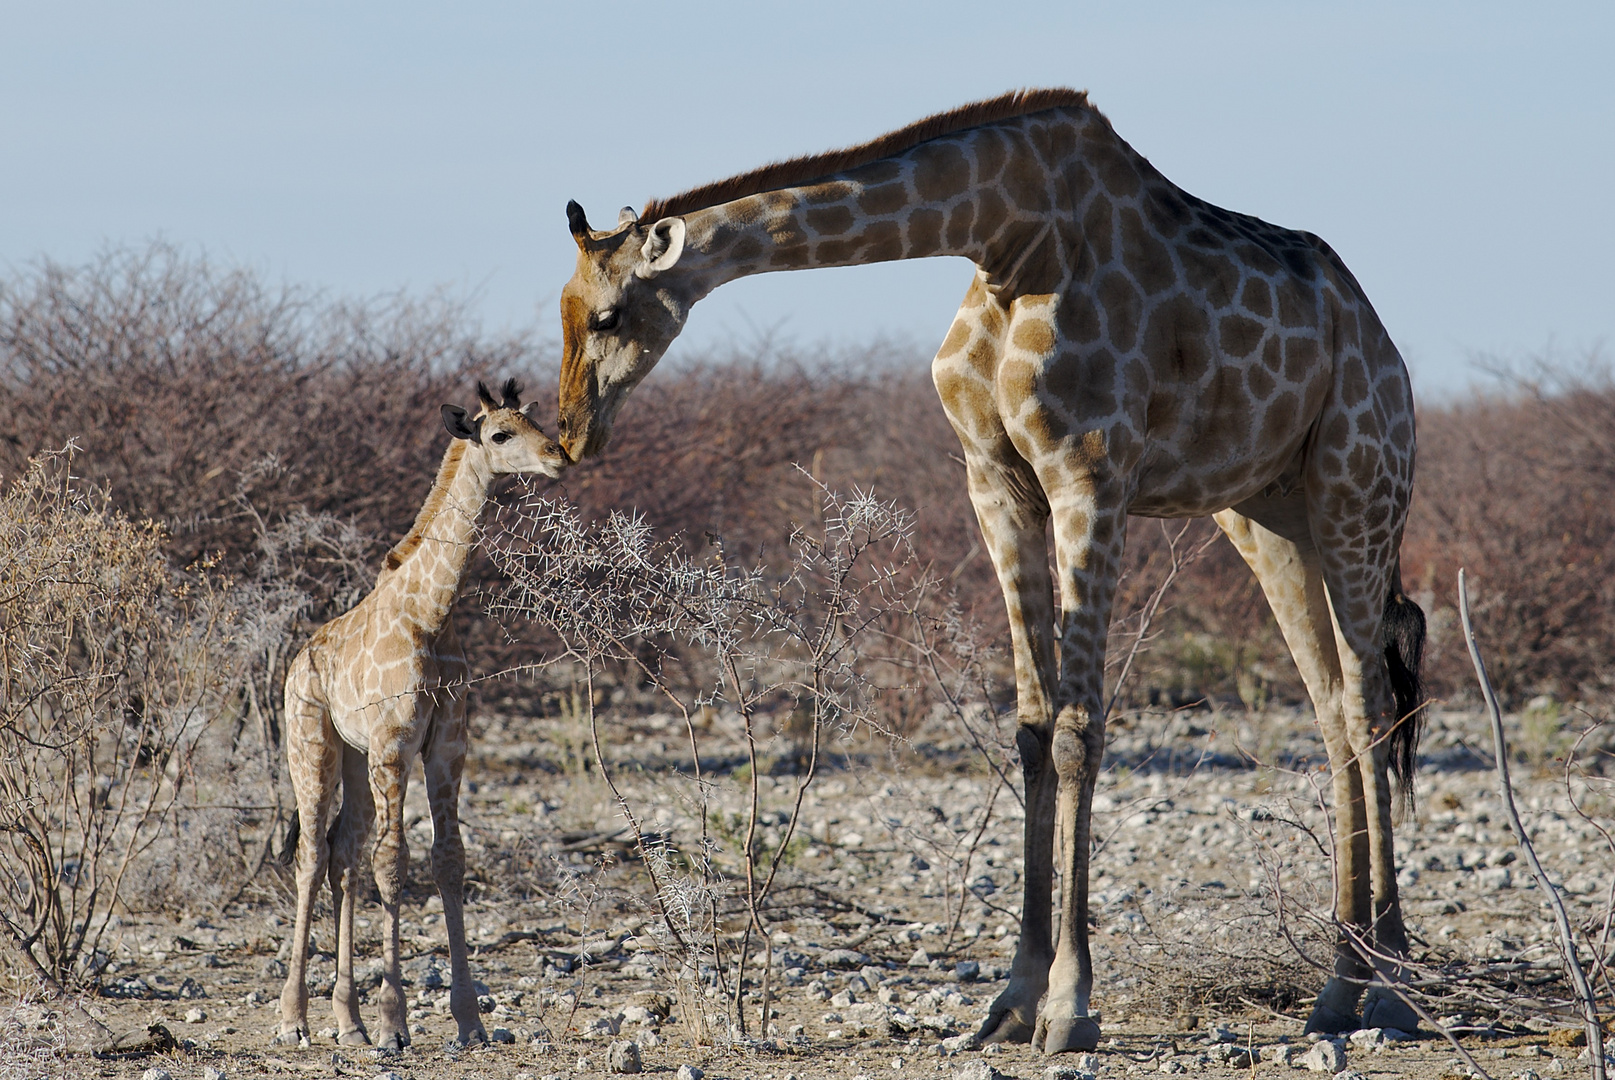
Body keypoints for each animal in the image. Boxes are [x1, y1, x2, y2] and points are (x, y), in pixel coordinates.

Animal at [271, 377, 562, 1046]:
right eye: (499, 434)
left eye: (539, 423)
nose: (559, 456)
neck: (431, 614)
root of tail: (298, 659)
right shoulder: (395, 743)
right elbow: (394, 862)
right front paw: (393, 1022)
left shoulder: (448, 744)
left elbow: (448, 861)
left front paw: (469, 1019)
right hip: (312, 744)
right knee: (312, 855)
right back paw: (294, 1018)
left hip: (355, 758)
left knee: (342, 855)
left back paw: (345, 1020)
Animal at [558, 88, 1427, 1046]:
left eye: (604, 316)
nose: (571, 433)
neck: (1008, 238)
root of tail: (1383, 344)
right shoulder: (994, 480)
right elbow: (1031, 730)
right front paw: (1011, 998)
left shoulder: (1089, 477)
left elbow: (1081, 731)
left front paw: (1070, 1006)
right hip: (1267, 512)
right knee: (1333, 711)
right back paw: (1339, 988)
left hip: (1357, 485)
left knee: (1371, 704)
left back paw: (1391, 988)